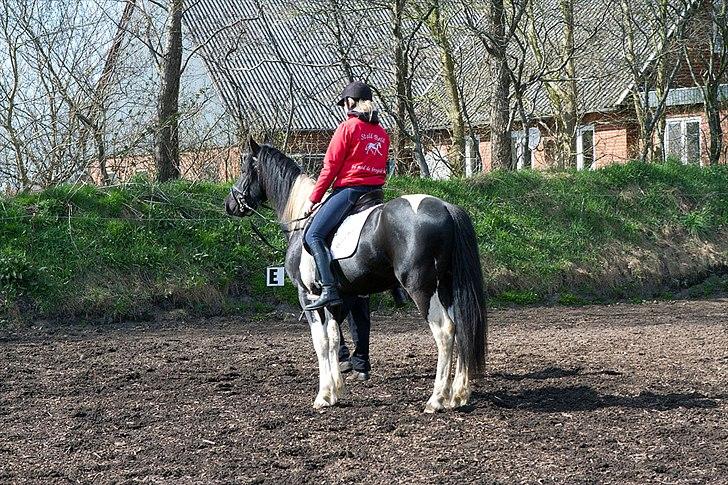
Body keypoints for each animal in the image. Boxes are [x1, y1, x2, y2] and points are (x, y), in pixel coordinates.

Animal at [226, 137, 490, 412]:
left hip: (422, 288)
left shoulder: (308, 295)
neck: (302, 221)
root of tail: (446, 207)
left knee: (445, 331)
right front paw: (335, 390)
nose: (230, 204)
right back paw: (458, 395)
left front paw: (323, 395)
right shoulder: (334, 297)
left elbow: (321, 342)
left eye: (245, 168)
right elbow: (333, 338)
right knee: (461, 328)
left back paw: (436, 399)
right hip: (447, 285)